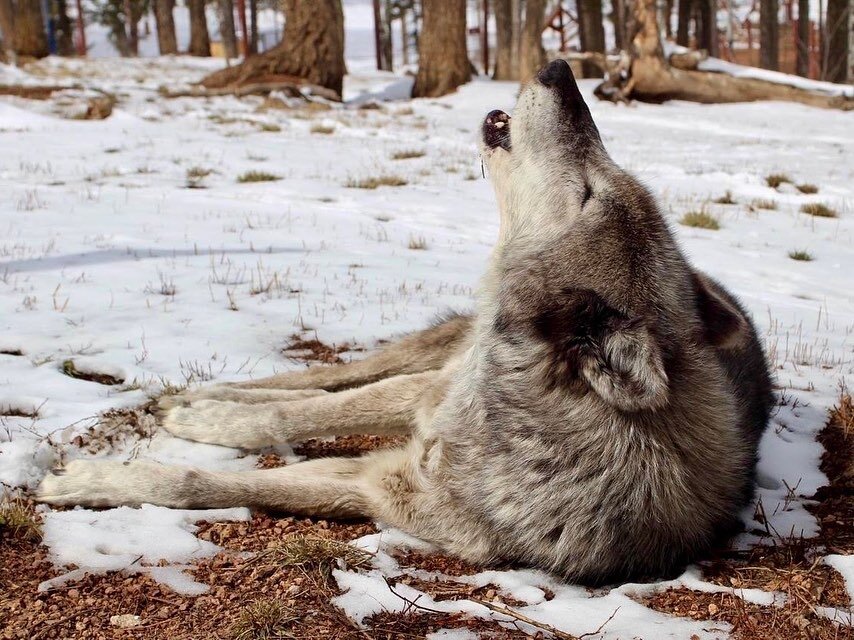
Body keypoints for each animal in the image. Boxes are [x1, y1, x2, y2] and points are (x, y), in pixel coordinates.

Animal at [38, 61, 776, 584]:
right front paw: (200, 425)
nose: (561, 68)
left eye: (594, 191)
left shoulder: (383, 491)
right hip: (428, 358)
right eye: (605, 175)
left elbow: (207, 480)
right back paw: (197, 398)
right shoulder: (418, 414)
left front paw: (92, 481)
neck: (511, 424)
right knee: (330, 379)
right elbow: (297, 416)